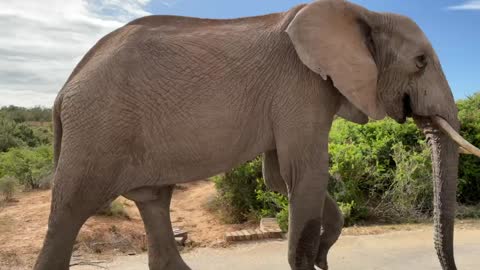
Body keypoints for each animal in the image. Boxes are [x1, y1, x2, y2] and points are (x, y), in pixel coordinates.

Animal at [33, 0, 480, 270]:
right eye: (420, 62)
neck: (364, 12)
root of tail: (63, 90)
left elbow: (281, 178)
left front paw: (325, 251)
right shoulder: (300, 87)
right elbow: (307, 175)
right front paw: (316, 254)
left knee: (154, 204)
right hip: (97, 129)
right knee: (70, 211)